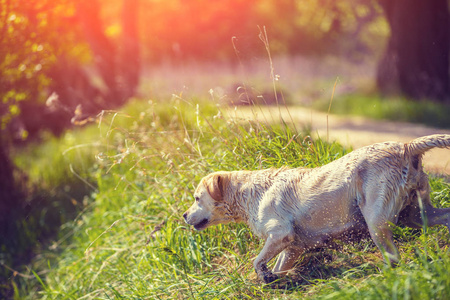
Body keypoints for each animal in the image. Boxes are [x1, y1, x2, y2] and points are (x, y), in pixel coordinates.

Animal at [183, 135, 450, 282]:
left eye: (197, 198)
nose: (184, 215)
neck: (250, 194)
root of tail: (405, 146)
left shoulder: (280, 233)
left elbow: (257, 260)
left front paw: (265, 276)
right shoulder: (293, 247)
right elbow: (278, 264)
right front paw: (276, 278)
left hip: (377, 219)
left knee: (393, 257)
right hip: (416, 214)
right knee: (443, 216)